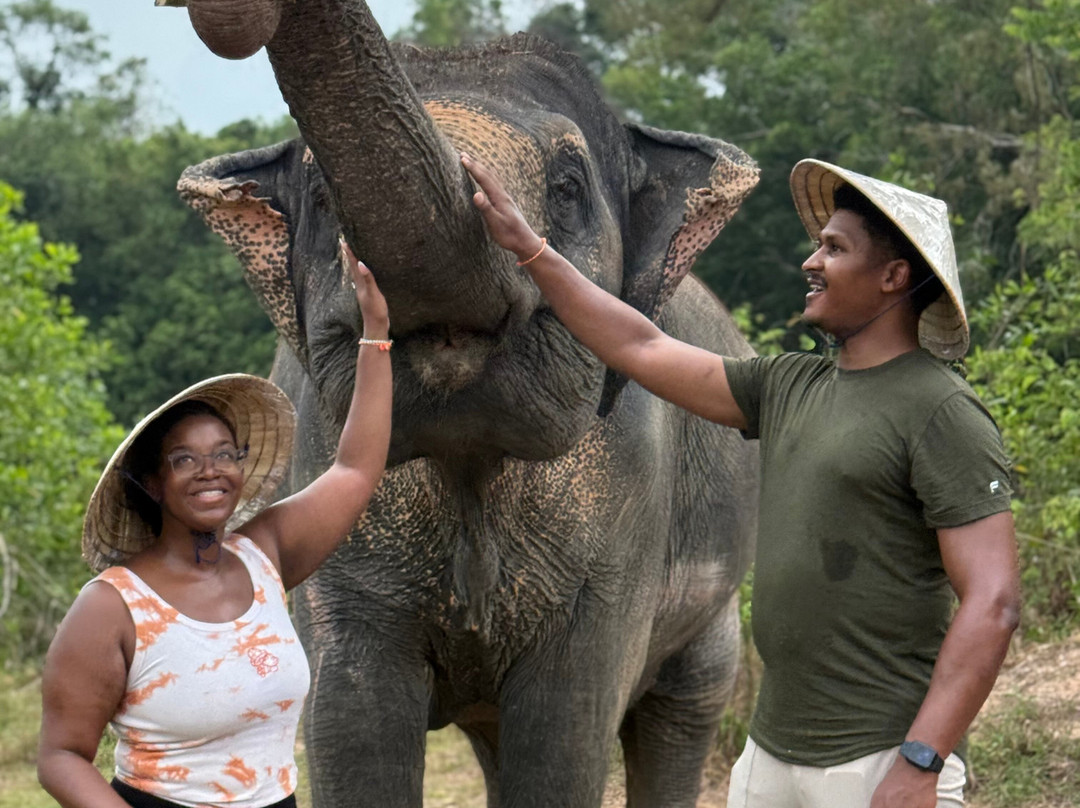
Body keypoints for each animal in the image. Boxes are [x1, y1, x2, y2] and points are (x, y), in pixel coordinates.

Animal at [166, 1, 760, 806]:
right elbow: (351, 722)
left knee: (682, 711)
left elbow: (564, 733)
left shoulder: (626, 515)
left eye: (568, 186)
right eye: (321, 199)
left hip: (715, 600)